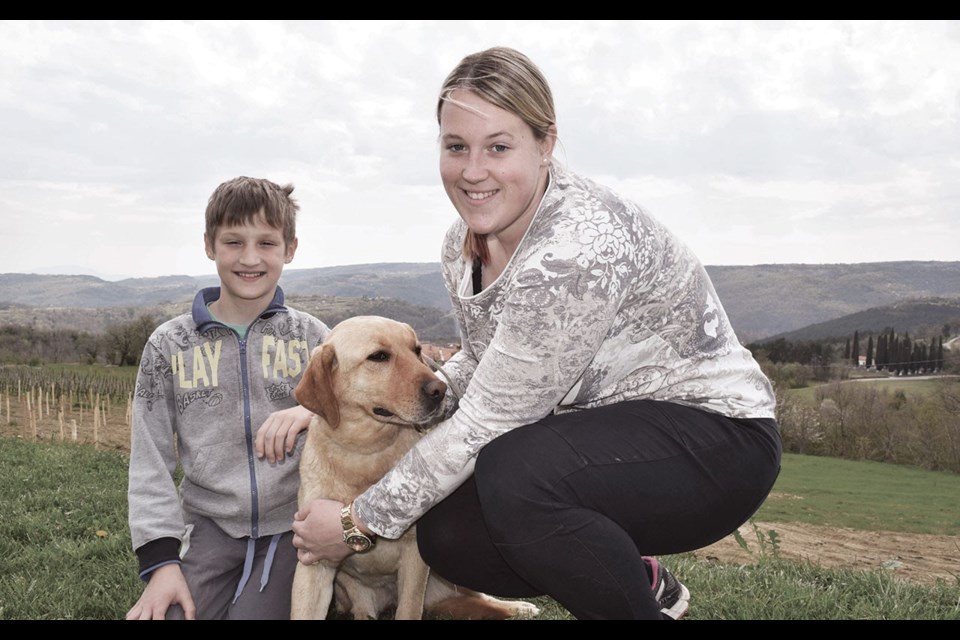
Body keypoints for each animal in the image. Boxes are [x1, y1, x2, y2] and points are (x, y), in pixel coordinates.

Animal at [290, 316, 540, 620]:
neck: (366, 452)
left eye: (416, 350)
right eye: (379, 356)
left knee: (483, 599)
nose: (440, 390)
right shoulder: (313, 561)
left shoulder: (414, 557)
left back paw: (520, 607)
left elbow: (409, 609)